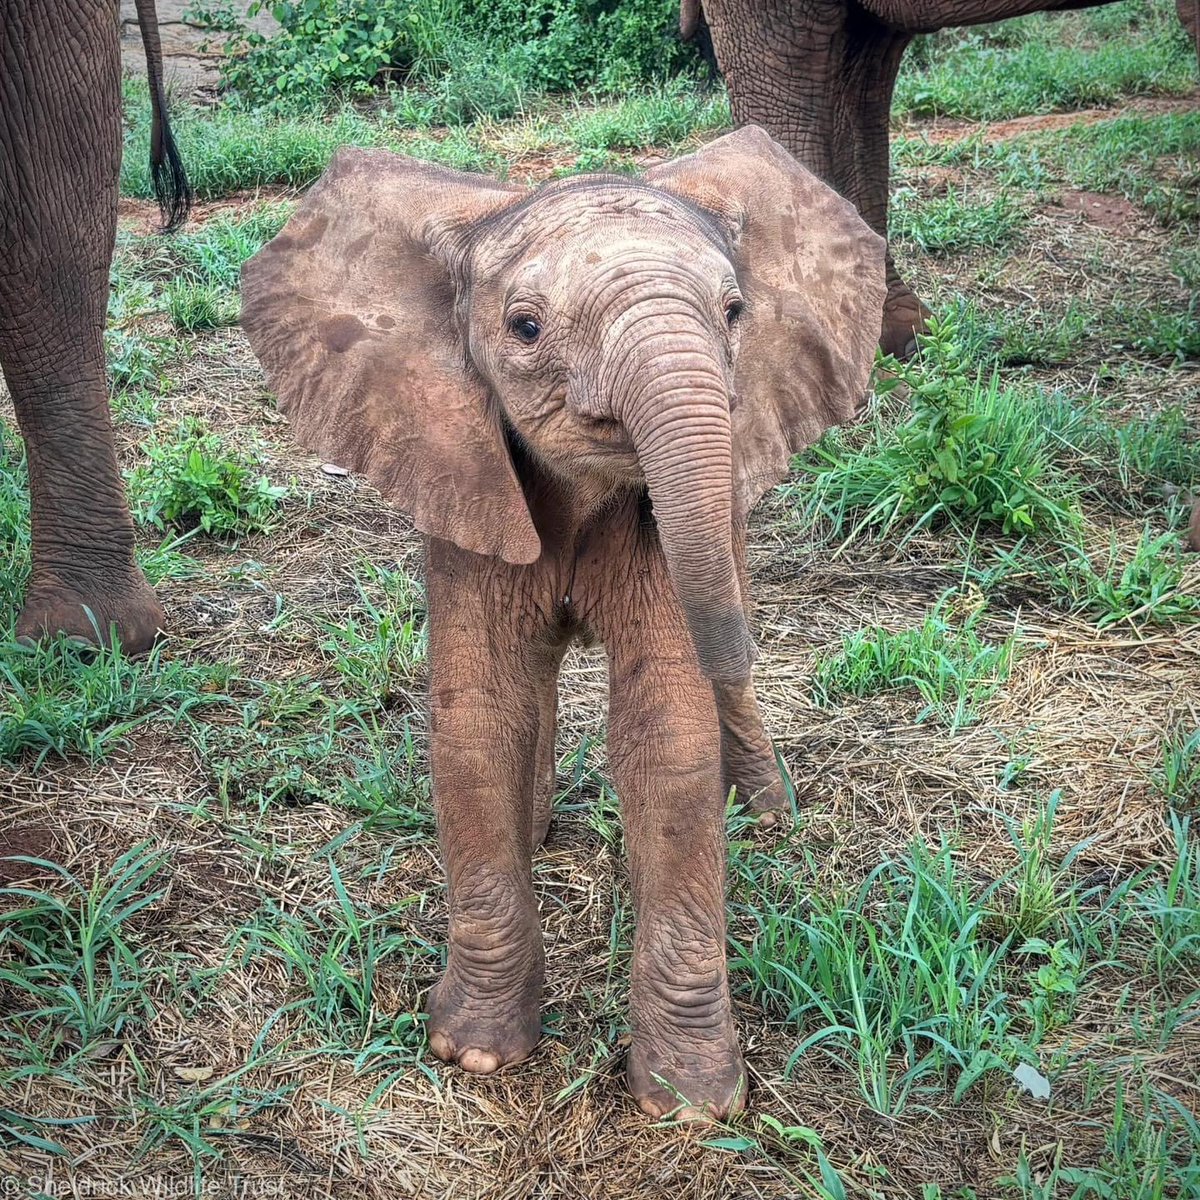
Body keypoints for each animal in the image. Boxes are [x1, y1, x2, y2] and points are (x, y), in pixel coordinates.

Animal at [238, 126, 888, 1118]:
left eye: (736, 310)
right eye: (525, 328)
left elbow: (667, 731)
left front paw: (690, 1105)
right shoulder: (458, 466)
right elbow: (480, 721)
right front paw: (475, 1054)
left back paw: (771, 818)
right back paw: (546, 827)